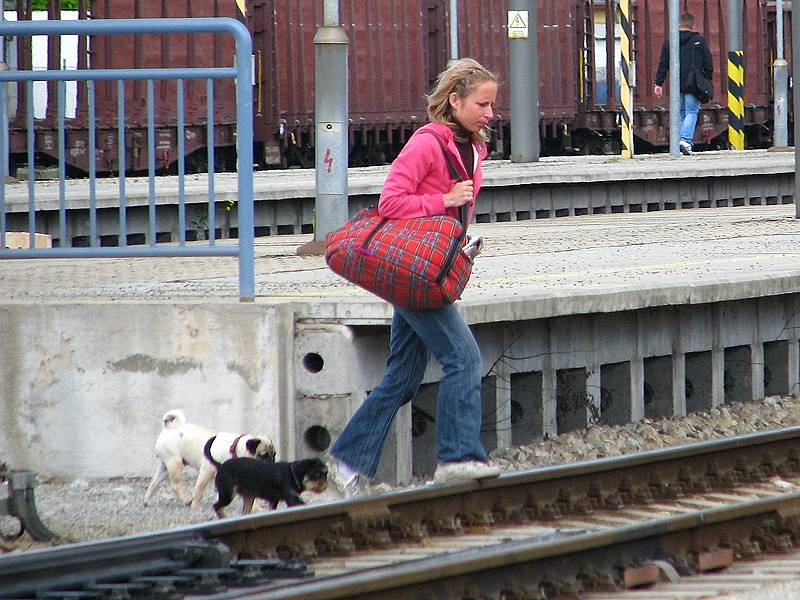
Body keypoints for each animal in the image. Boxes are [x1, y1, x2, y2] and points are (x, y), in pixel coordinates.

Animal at [145, 408, 278, 506]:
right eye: (263, 456)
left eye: (274, 455)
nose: (272, 461)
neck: (234, 448)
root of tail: (168, 428)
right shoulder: (206, 472)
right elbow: (199, 490)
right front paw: (195, 506)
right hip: (174, 464)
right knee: (176, 485)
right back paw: (187, 500)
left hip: (164, 468)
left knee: (154, 482)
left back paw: (147, 501)